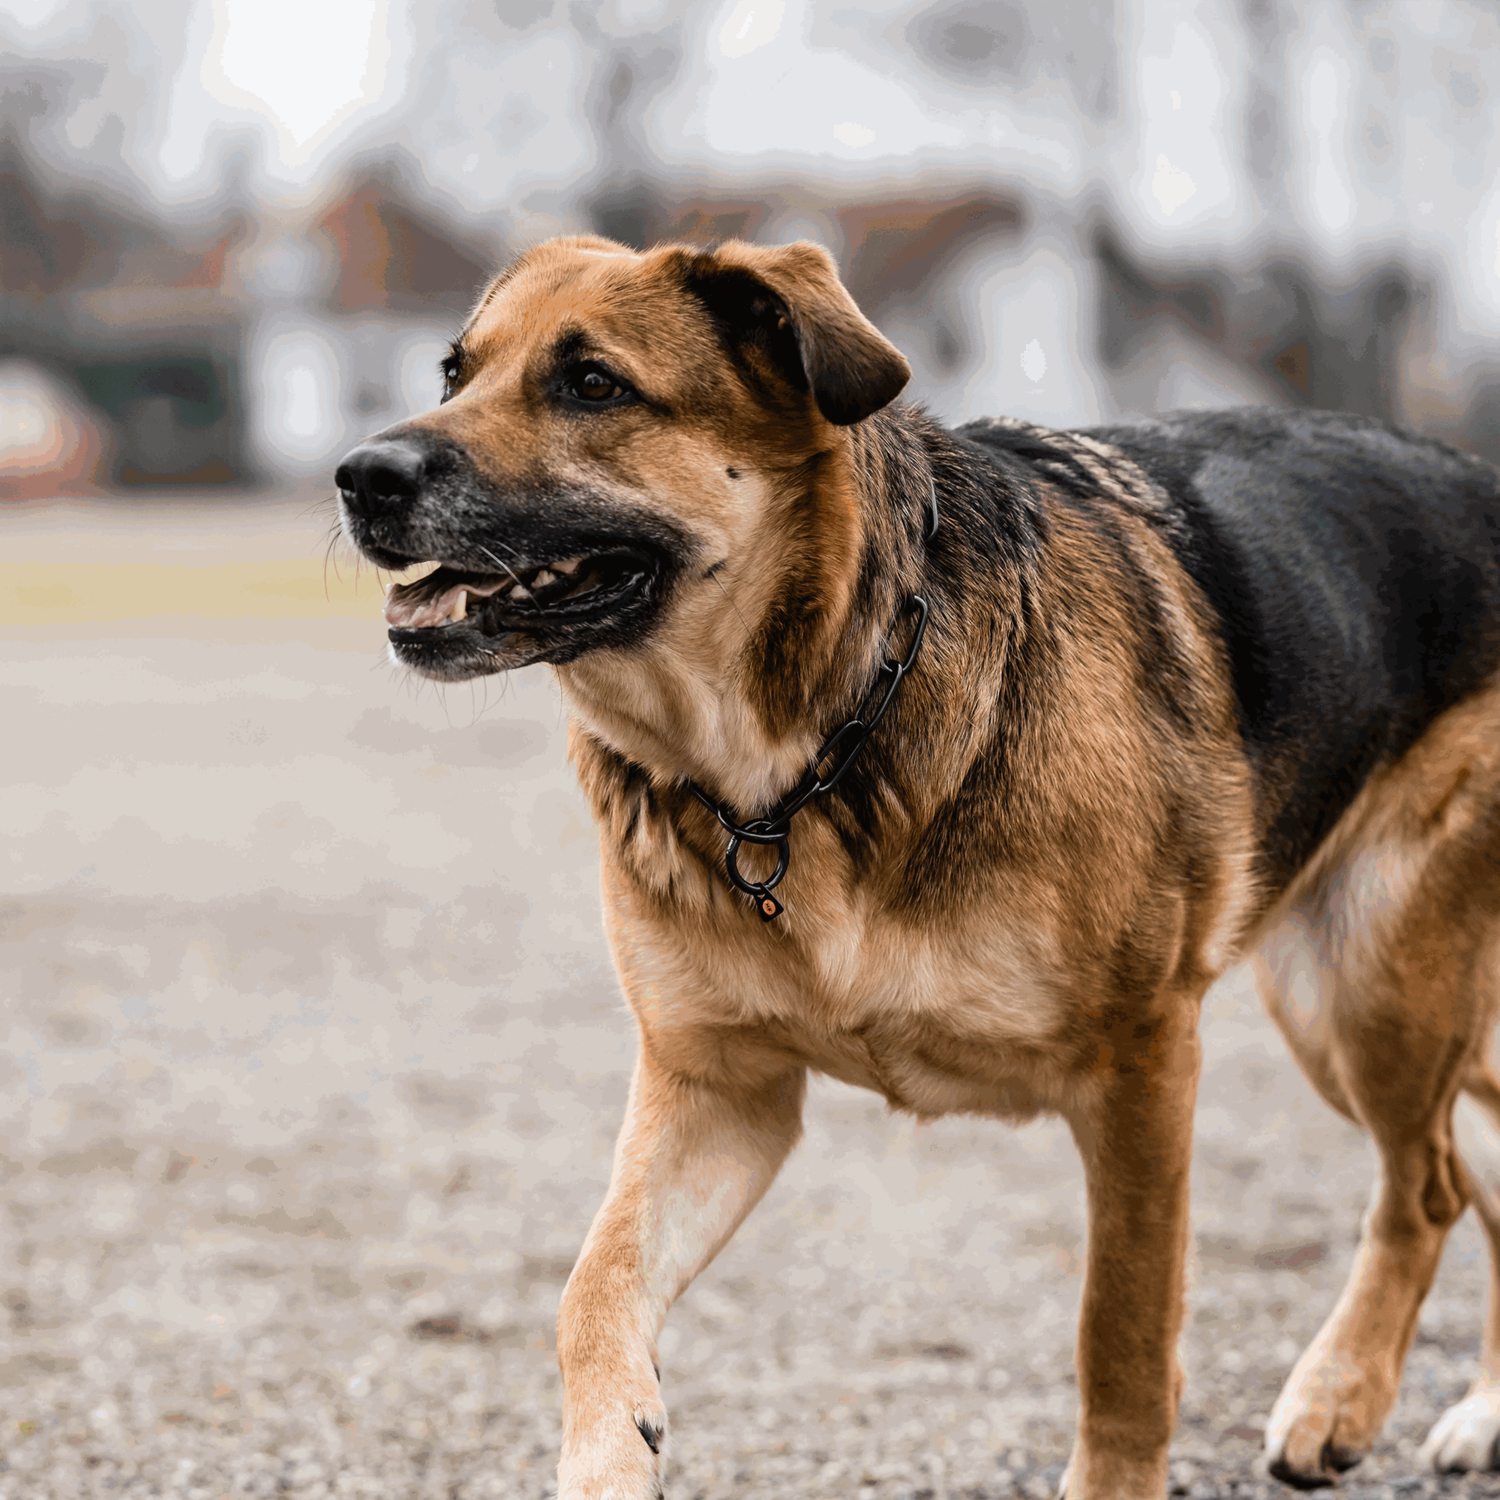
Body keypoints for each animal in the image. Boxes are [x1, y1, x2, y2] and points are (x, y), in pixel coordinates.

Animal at [334, 240, 1500, 1494]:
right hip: (1335, 1003)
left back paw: (1340, 1394)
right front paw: (610, 1453)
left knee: (1427, 1189)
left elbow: (1122, 1338)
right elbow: (591, 1289)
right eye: (455, 373)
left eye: (592, 384)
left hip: (1371, 990)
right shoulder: (719, 1091)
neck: (801, 757)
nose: (358, 477)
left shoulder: (1144, 1069)